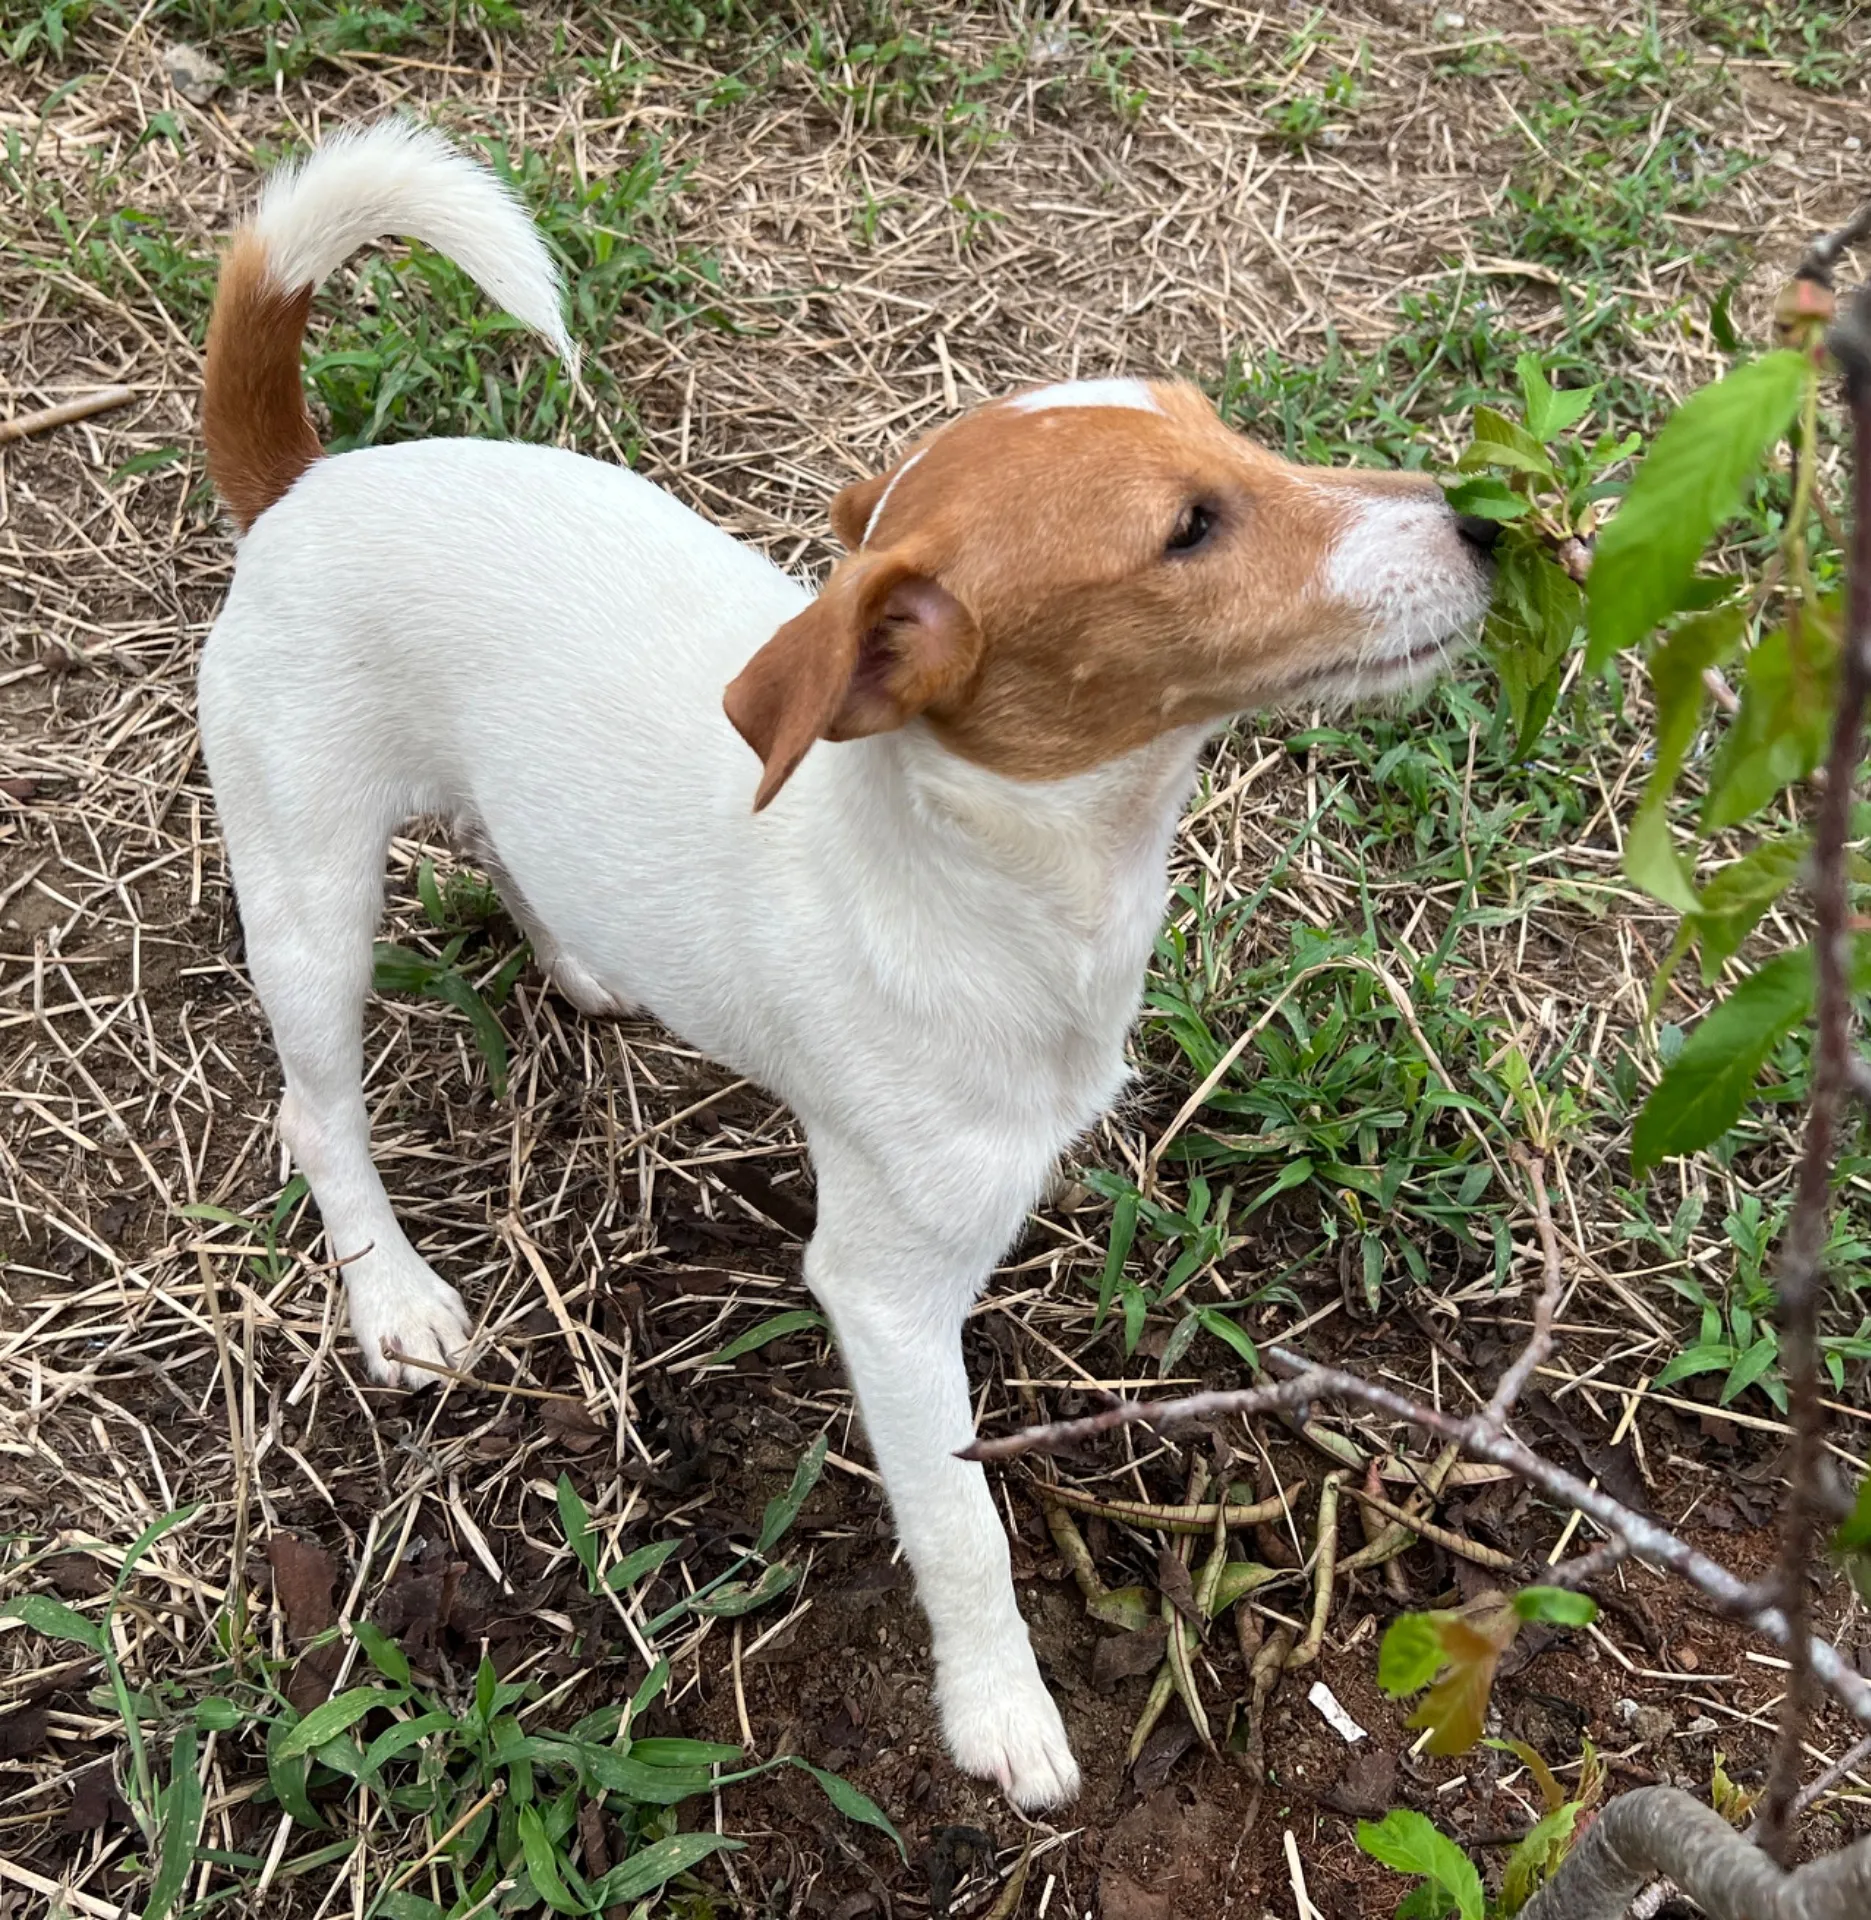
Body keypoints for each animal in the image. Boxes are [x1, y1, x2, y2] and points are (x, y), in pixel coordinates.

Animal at [197, 123, 1498, 1812]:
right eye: (1188, 531)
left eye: (1241, 438)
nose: (1489, 523)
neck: (1006, 878)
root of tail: (305, 484)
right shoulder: (883, 1296)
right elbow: (963, 1531)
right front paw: (1000, 1711)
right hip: (308, 888)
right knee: (316, 1110)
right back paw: (393, 1296)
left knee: (507, 849)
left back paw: (577, 958)